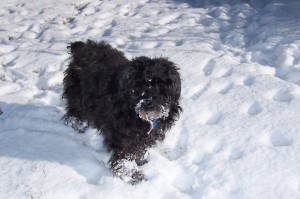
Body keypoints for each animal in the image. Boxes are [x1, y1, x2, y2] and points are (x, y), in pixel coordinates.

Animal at [62, 40, 182, 183]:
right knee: (74, 112)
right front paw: (131, 175)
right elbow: (126, 156)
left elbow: (138, 150)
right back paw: (76, 124)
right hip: (77, 96)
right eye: (140, 85)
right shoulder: (123, 136)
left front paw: (139, 163)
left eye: (160, 85)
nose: (149, 103)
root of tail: (83, 46)